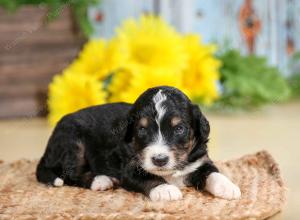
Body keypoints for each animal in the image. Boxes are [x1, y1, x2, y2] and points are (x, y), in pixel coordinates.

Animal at [36, 86, 240, 201]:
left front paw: (228, 187)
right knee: (69, 173)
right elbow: (149, 178)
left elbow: (213, 173)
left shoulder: (200, 160)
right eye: (142, 129)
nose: (159, 160)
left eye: (179, 129)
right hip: (73, 141)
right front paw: (165, 190)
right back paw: (101, 180)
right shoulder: (130, 169)